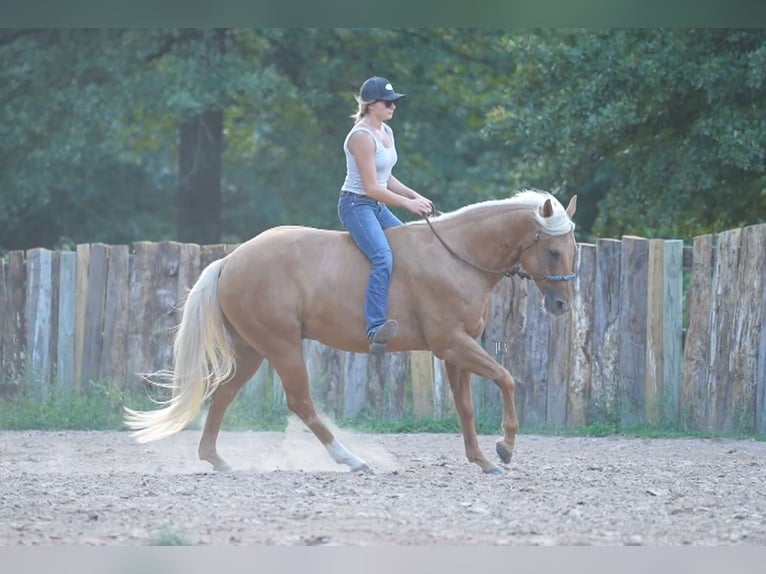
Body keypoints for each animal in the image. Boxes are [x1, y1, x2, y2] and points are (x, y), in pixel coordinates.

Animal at [124, 189, 577, 474]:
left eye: (572, 250)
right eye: (554, 251)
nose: (562, 306)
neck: (456, 257)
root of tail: (232, 260)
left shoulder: (454, 351)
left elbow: (465, 407)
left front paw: (482, 460)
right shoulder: (453, 343)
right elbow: (506, 378)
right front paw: (506, 447)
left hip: (252, 350)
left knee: (223, 396)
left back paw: (215, 460)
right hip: (281, 346)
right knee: (301, 403)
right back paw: (353, 460)